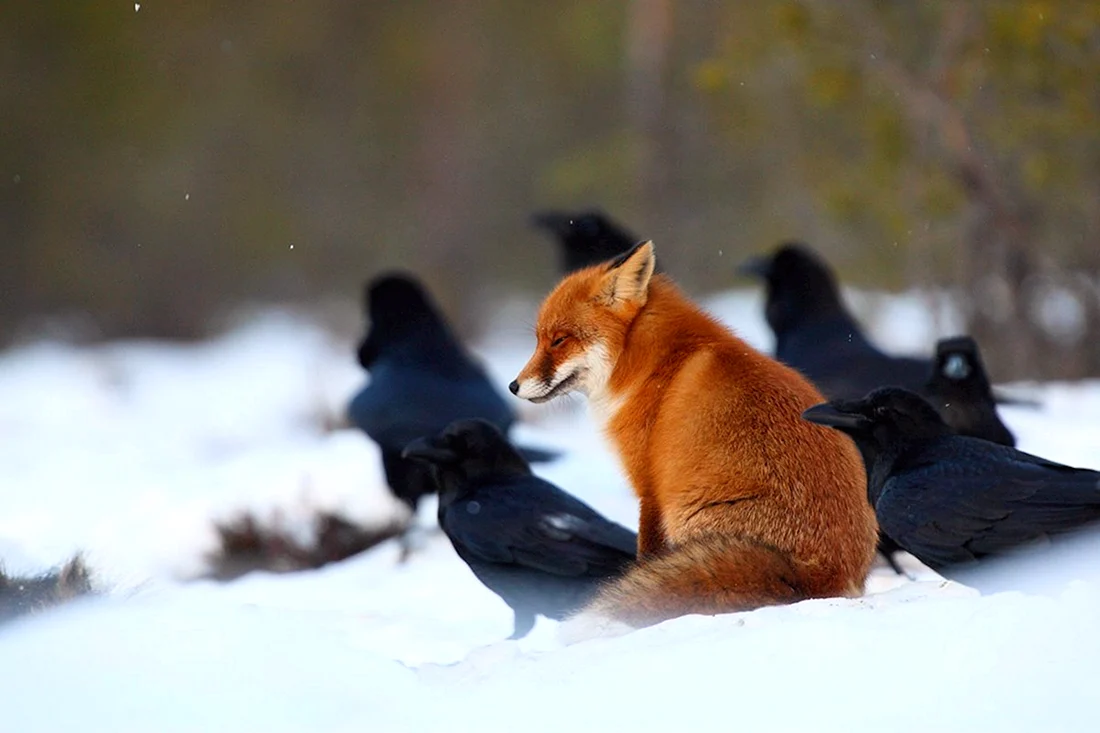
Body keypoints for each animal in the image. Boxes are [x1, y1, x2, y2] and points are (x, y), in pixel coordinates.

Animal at [509, 241, 878, 629]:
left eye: (559, 340)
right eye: (538, 340)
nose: (513, 386)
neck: (649, 365)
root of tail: (820, 575)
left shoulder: (650, 487)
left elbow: (646, 554)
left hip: (688, 514)